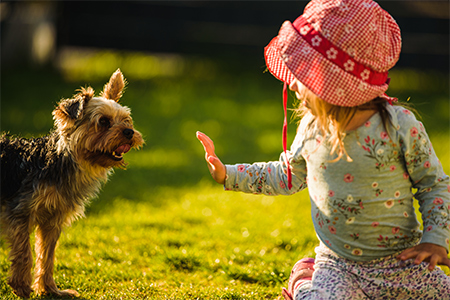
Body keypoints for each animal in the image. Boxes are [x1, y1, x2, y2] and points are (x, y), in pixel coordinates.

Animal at [0, 68, 144, 298]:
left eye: (126, 120)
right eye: (103, 122)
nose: (129, 132)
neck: (60, 160)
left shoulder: (52, 220)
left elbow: (47, 256)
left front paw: (50, 289)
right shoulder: (19, 211)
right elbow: (24, 252)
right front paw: (21, 287)